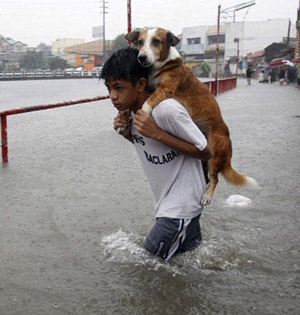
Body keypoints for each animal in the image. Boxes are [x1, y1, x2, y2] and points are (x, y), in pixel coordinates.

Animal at [125, 26, 258, 205]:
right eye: (140, 42)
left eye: (156, 42)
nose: (141, 57)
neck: (162, 65)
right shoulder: (152, 87)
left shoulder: (165, 89)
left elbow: (147, 103)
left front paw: (142, 114)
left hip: (214, 152)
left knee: (215, 179)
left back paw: (207, 196)